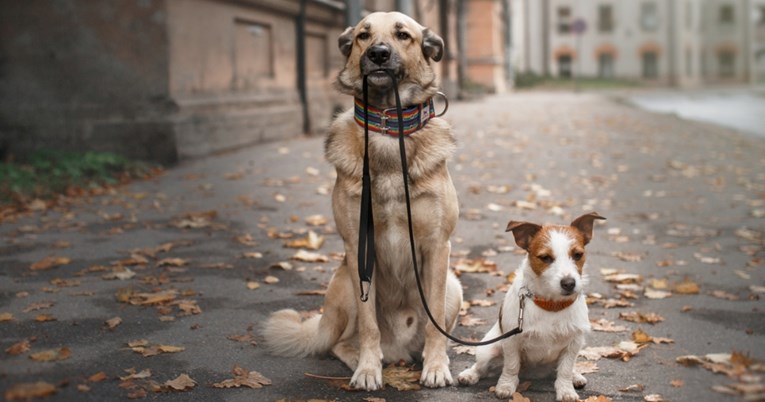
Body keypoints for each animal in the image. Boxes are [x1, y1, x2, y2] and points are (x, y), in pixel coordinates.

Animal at [264, 11, 460, 390]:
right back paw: (362, 359)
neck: (387, 126)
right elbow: (369, 326)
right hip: (343, 282)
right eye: (363, 36)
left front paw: (436, 366)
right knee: (340, 342)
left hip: (452, 285)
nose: (378, 54)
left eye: (403, 35)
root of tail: (399, 349)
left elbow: (435, 325)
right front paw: (369, 369)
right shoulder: (358, 247)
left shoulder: (437, 247)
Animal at [456, 212, 604, 400]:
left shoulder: (574, 343)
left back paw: (575, 375)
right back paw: (469, 375)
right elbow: (511, 366)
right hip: (487, 350)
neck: (551, 304)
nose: (569, 284)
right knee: (481, 367)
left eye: (578, 255)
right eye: (545, 258)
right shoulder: (511, 341)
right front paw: (506, 385)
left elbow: (565, 370)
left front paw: (566, 390)